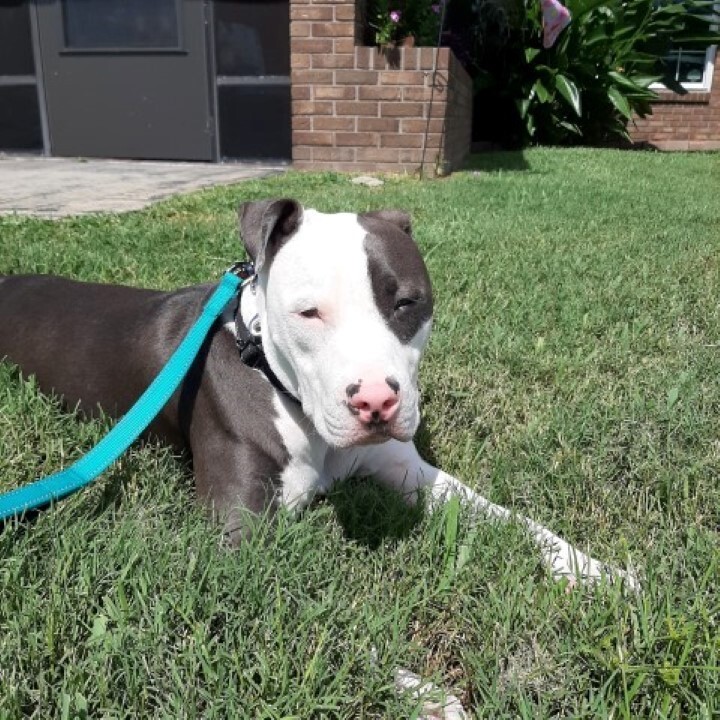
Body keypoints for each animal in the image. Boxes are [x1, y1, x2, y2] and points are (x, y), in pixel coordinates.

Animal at [0, 197, 632, 592]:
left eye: (406, 302)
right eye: (308, 312)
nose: (375, 401)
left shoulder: (405, 466)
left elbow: (504, 516)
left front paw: (597, 572)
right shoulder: (237, 533)